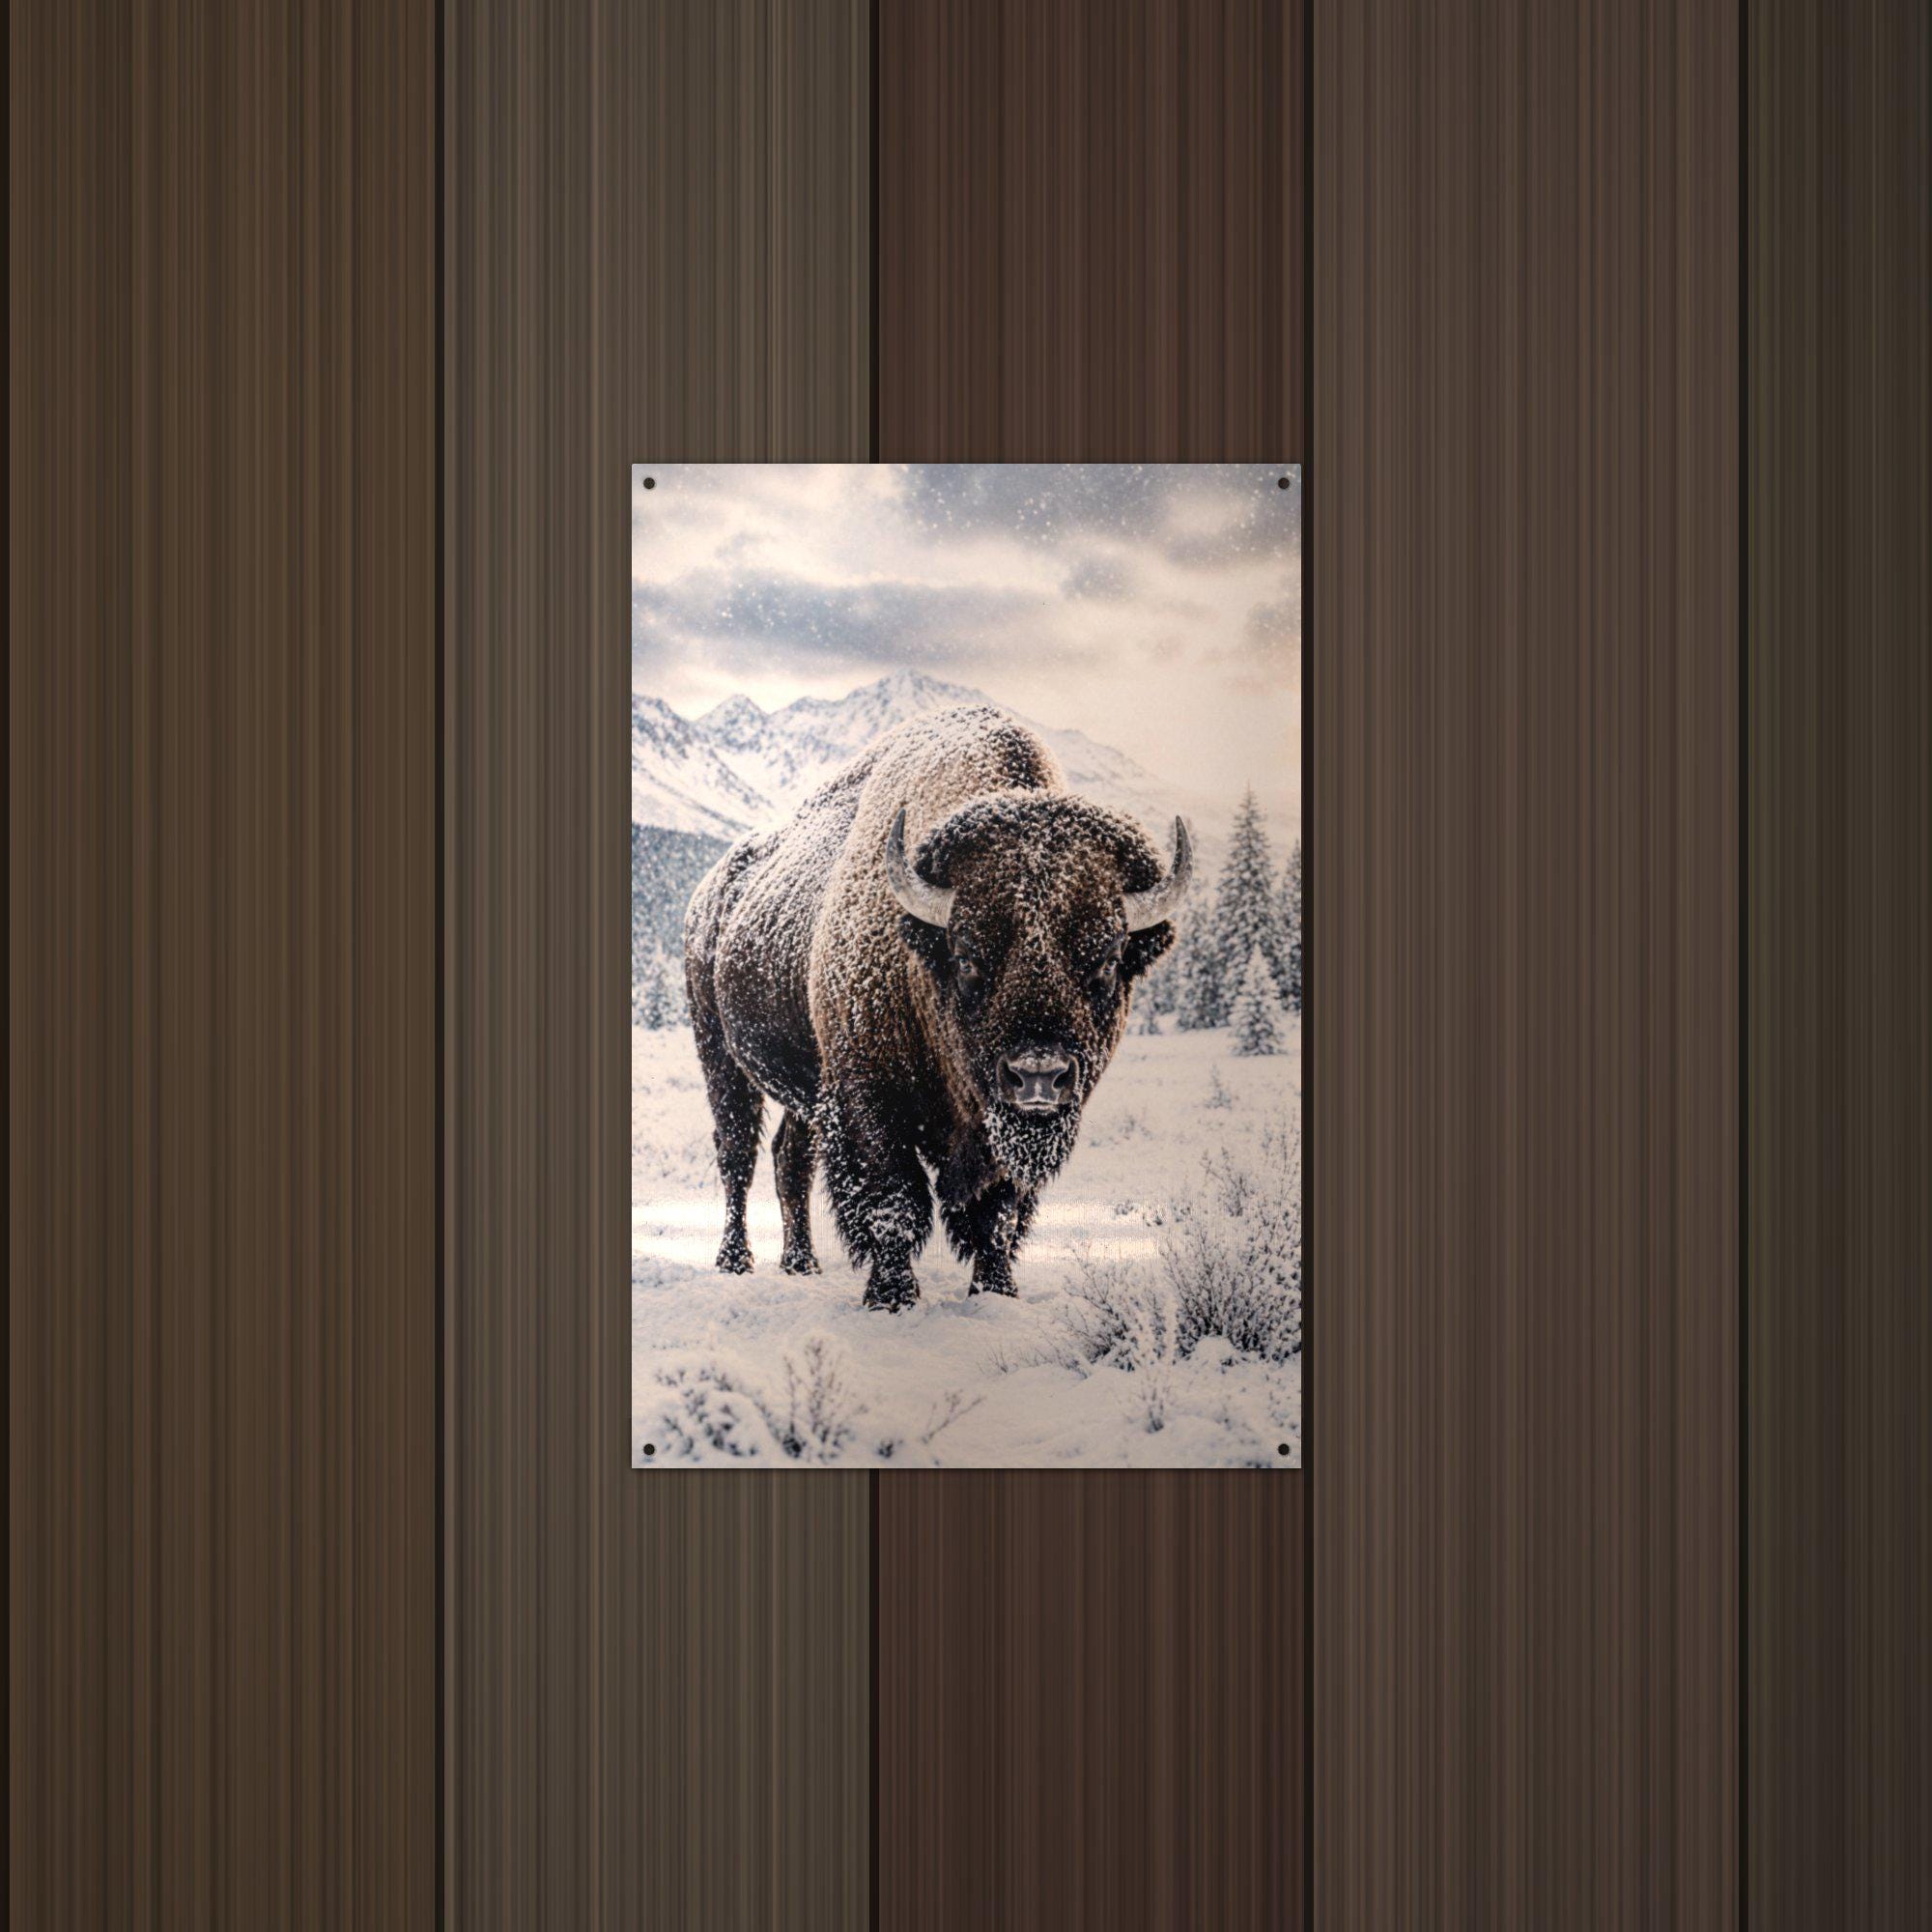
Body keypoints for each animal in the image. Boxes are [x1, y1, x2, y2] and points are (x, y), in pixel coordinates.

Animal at [684, 705, 1191, 1311]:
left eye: (1109, 959)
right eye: (967, 955)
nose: (1038, 1075)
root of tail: (711, 893)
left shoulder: (996, 1131)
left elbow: (997, 1216)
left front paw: (995, 1292)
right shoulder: (868, 1101)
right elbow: (894, 1206)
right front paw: (891, 1296)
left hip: (803, 1089)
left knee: (790, 1159)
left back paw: (801, 1264)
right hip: (719, 1054)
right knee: (737, 1154)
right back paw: (734, 1261)